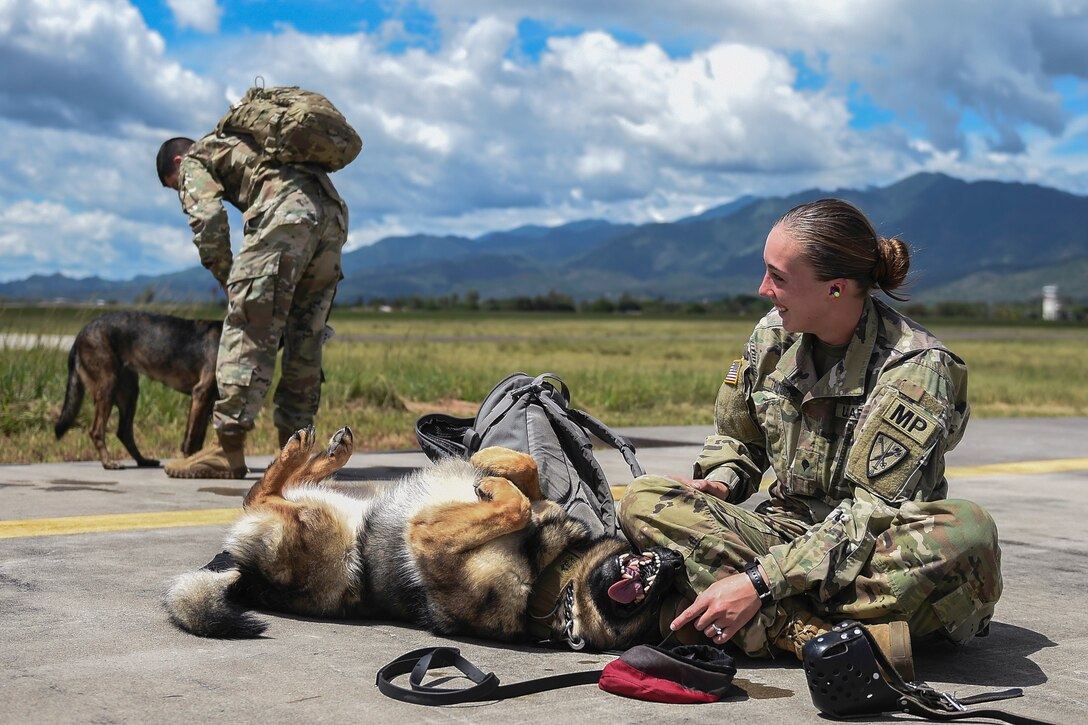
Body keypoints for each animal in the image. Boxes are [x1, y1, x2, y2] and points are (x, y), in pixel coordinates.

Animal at [55, 311, 220, 468]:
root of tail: (80, 335)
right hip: (107, 386)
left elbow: (198, 438)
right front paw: (190, 462)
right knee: (97, 430)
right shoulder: (201, 394)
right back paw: (108, 463)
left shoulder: (207, 403)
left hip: (130, 392)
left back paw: (143, 460)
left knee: (124, 432)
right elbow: (192, 438)